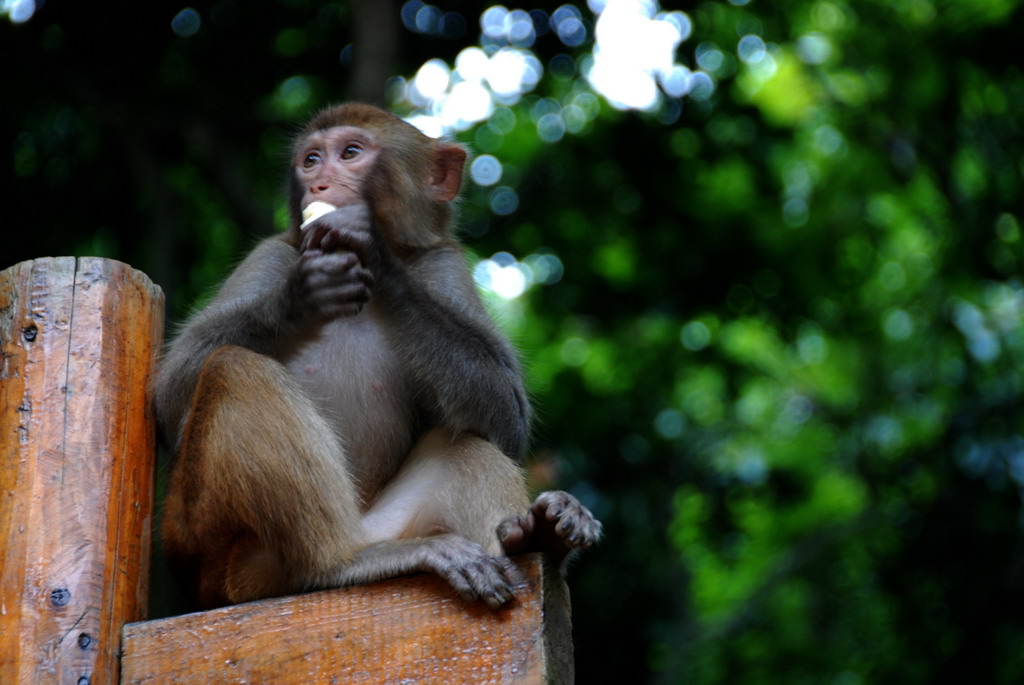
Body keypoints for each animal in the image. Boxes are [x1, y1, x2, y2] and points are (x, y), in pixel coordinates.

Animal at [151, 102, 598, 610]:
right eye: (311, 160)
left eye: (350, 153)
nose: (320, 185)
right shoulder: (270, 254)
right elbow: (170, 397)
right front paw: (298, 298)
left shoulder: (443, 263)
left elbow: (507, 419)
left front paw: (377, 254)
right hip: (211, 547)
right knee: (233, 367)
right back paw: (333, 564)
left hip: (383, 527)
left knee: (469, 445)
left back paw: (541, 538)